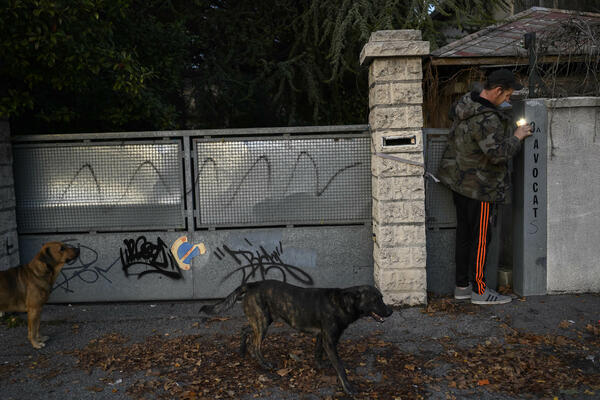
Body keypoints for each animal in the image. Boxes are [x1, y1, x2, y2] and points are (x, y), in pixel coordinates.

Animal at [199, 280, 392, 396]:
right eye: (376, 299)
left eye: (382, 297)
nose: (391, 311)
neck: (344, 303)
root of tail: (253, 284)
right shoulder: (330, 340)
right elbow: (340, 367)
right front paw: (348, 388)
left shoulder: (322, 337)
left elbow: (318, 353)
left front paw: (320, 366)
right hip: (262, 323)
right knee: (256, 345)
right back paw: (264, 363)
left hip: (263, 320)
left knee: (245, 330)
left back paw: (242, 351)